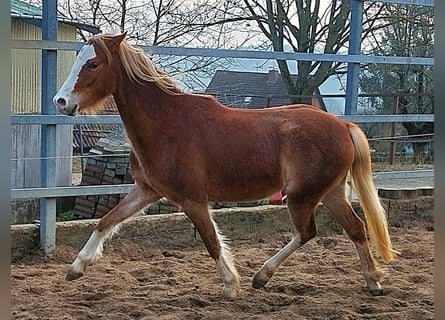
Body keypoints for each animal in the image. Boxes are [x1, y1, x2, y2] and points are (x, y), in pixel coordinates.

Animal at [53, 33, 398, 298]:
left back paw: (262, 276)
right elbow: (105, 221)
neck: (167, 124)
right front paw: (76, 268)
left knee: (308, 232)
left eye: (93, 63)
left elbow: (212, 241)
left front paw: (231, 286)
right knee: (356, 228)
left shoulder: (192, 200)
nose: (61, 102)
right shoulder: (146, 191)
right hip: (331, 192)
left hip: (303, 196)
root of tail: (344, 126)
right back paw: (373, 281)